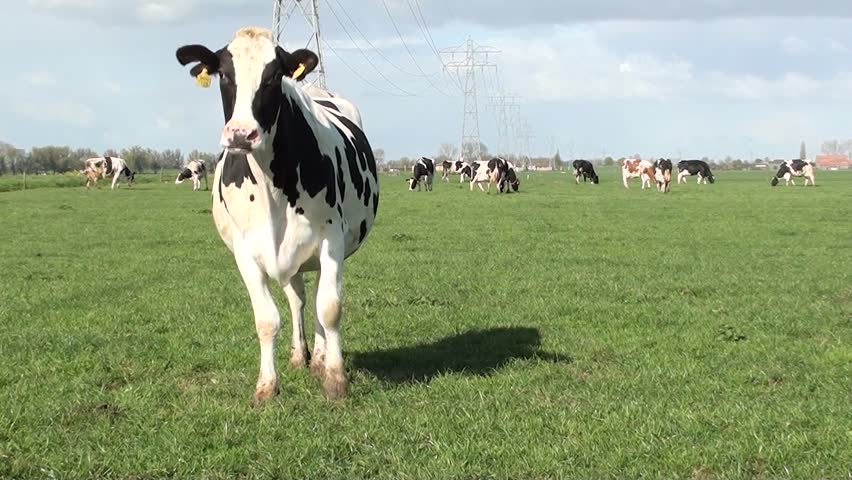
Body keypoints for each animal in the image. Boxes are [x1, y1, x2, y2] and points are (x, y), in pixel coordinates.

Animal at [176, 26, 379, 403]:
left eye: (273, 77)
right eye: (224, 74)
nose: (241, 134)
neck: (273, 190)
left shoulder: (331, 240)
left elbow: (330, 308)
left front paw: (335, 379)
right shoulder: (245, 251)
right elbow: (267, 320)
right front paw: (266, 387)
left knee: (315, 300)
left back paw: (320, 358)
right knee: (298, 300)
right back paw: (301, 356)